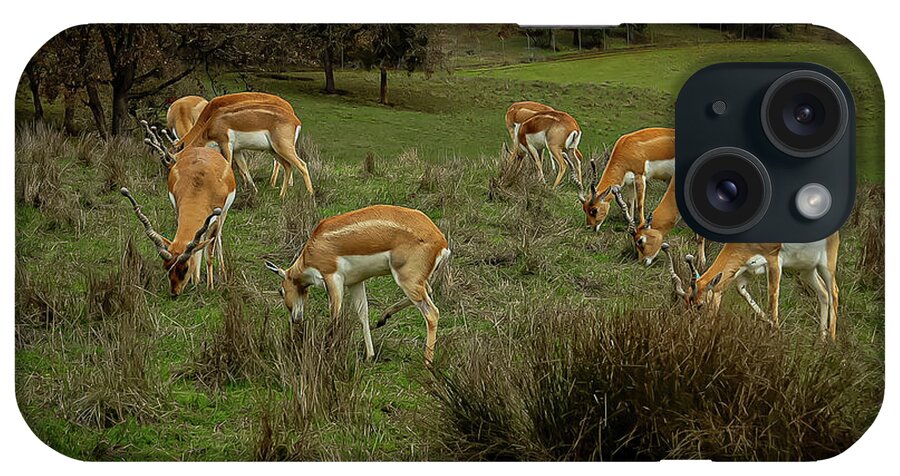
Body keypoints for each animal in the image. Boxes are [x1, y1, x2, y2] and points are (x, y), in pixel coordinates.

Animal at [122, 123, 236, 297]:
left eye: (185, 268)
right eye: (167, 267)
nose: (174, 293)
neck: (200, 186)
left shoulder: (215, 219)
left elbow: (209, 253)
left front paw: (209, 287)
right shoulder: (178, 210)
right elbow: (196, 247)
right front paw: (195, 281)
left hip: (223, 215)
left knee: (217, 238)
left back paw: (222, 272)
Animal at [176, 91, 312, 198]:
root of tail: (296, 120)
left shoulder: (226, 144)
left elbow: (228, 166)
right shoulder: (237, 151)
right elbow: (244, 168)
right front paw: (252, 190)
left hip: (282, 148)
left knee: (302, 165)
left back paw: (309, 195)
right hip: (274, 150)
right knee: (288, 165)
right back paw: (282, 195)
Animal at [264, 205, 451, 366]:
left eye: (280, 291)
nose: (295, 319)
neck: (313, 249)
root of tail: (441, 241)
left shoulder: (332, 278)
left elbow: (335, 316)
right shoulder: (355, 282)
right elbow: (363, 314)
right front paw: (369, 356)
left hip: (406, 280)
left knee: (432, 313)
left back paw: (427, 362)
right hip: (415, 281)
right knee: (428, 291)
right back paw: (383, 318)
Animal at [661, 232, 840, 340]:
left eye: (700, 305)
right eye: (685, 305)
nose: (693, 330)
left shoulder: (774, 263)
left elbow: (772, 297)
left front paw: (775, 333)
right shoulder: (744, 271)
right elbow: (743, 294)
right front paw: (771, 326)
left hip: (826, 266)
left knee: (834, 292)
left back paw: (831, 341)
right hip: (806, 270)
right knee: (823, 293)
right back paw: (821, 339)